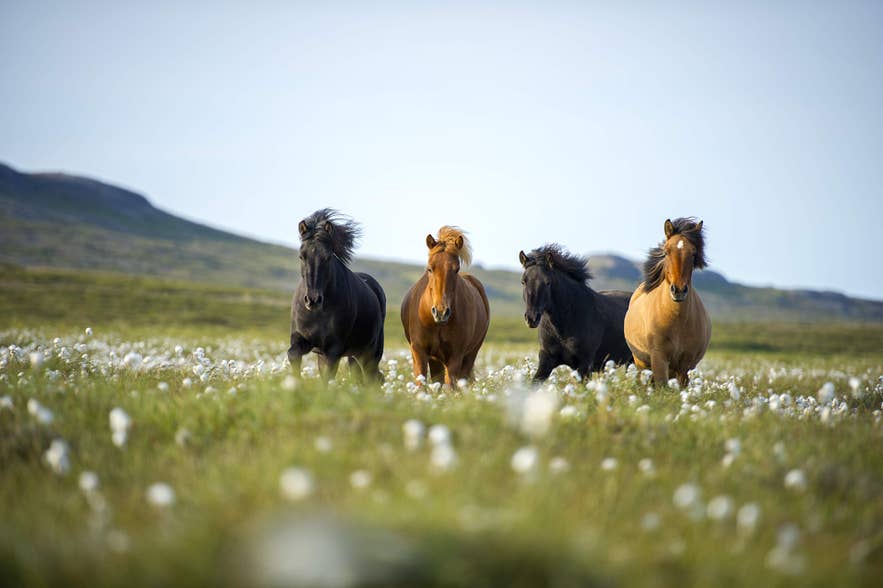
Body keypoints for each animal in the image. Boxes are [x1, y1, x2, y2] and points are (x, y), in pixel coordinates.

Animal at [288, 209, 386, 381]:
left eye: (327, 257)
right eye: (301, 256)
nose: (313, 300)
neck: (318, 313)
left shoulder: (333, 349)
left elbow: (327, 378)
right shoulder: (302, 340)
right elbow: (293, 354)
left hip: (370, 353)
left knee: (372, 378)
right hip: (352, 354)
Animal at [400, 226, 490, 387]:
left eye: (456, 269)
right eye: (430, 268)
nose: (441, 312)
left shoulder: (455, 356)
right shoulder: (419, 352)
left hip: (470, 355)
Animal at [624, 218, 712, 387]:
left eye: (693, 253)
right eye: (666, 252)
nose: (679, 290)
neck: (676, 320)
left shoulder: (685, 364)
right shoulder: (659, 358)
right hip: (640, 362)